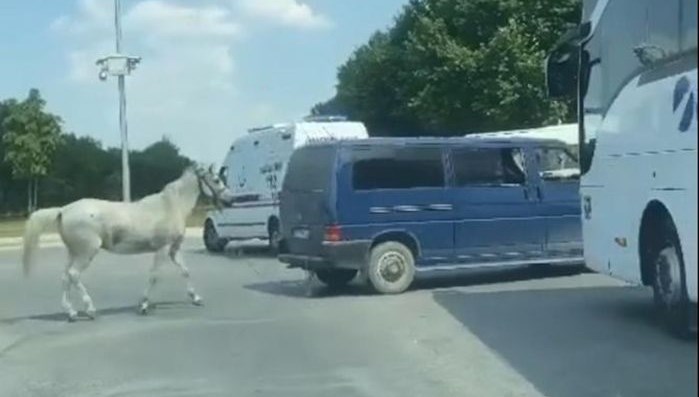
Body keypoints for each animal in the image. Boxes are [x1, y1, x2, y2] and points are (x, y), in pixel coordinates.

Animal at [20, 166, 230, 320]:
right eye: (216, 180)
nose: (230, 198)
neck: (170, 206)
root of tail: (63, 210)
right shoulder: (162, 249)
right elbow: (154, 276)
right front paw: (143, 305)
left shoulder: (174, 249)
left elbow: (185, 271)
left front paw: (196, 298)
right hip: (87, 252)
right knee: (73, 275)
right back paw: (90, 310)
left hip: (73, 252)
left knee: (65, 277)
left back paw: (71, 313)